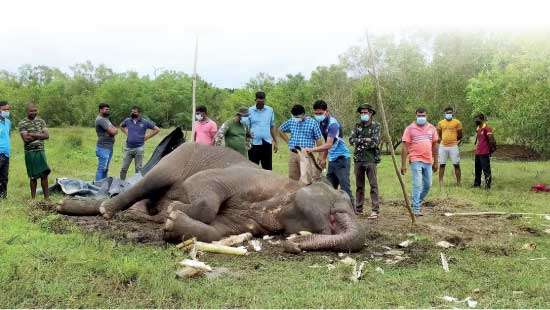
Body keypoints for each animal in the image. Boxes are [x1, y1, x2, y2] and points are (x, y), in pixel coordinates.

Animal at [60, 143, 366, 252]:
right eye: (337, 198)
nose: (293, 244)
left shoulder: (248, 222)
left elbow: (218, 231)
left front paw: (172, 223)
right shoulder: (241, 178)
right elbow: (205, 191)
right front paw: (175, 209)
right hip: (175, 158)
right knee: (147, 183)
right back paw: (100, 209)